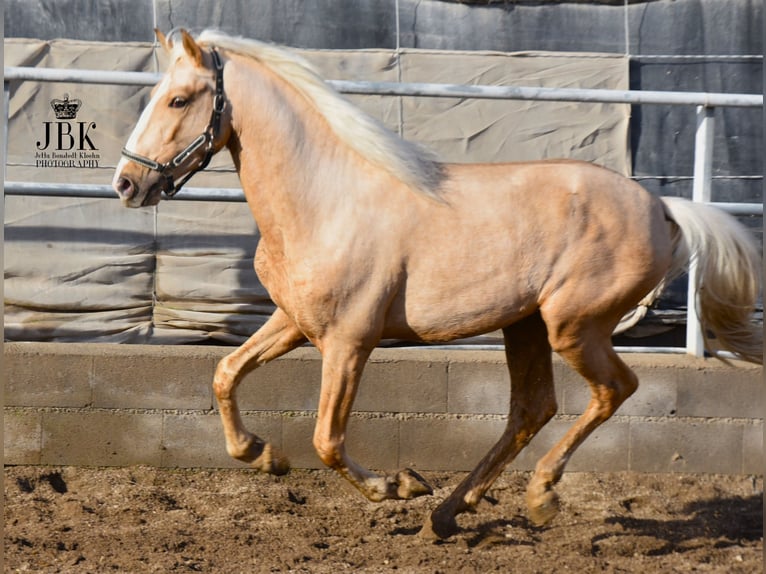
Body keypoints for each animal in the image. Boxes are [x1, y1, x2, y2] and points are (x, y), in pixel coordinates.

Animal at [112, 28, 760, 540]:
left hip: (573, 326)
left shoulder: (349, 342)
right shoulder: (292, 322)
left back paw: (538, 497)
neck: (324, 201)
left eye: (177, 98)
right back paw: (450, 512)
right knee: (532, 408)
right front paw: (264, 457)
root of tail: (664, 209)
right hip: (525, 326)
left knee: (613, 390)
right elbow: (225, 373)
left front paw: (396, 486)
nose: (126, 183)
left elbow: (326, 439)